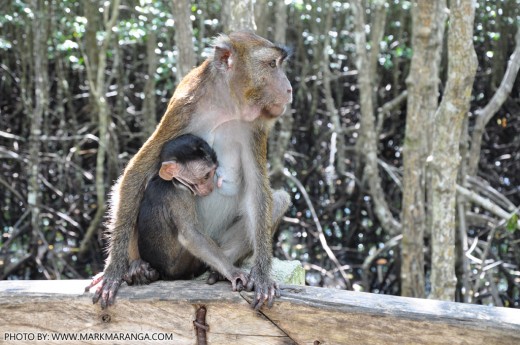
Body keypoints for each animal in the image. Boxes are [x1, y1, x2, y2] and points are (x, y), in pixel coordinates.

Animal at [125, 133, 249, 288]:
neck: (172, 180)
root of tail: (161, 273)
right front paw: (232, 272)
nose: (211, 187)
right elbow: (191, 235)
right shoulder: (181, 194)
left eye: (214, 171)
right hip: (180, 268)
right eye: (206, 175)